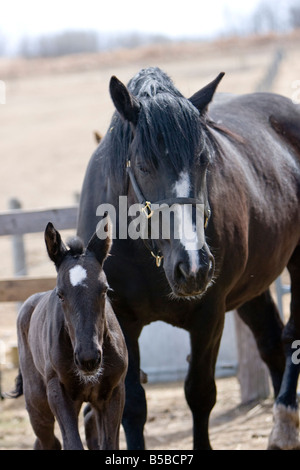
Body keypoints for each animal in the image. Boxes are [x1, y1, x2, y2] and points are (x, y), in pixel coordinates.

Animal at [77, 65, 300, 448]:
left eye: (205, 160)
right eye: (143, 165)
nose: (194, 266)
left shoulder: (208, 316)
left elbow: (200, 393)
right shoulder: (121, 319)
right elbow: (132, 404)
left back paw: (285, 422)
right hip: (252, 288)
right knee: (271, 342)